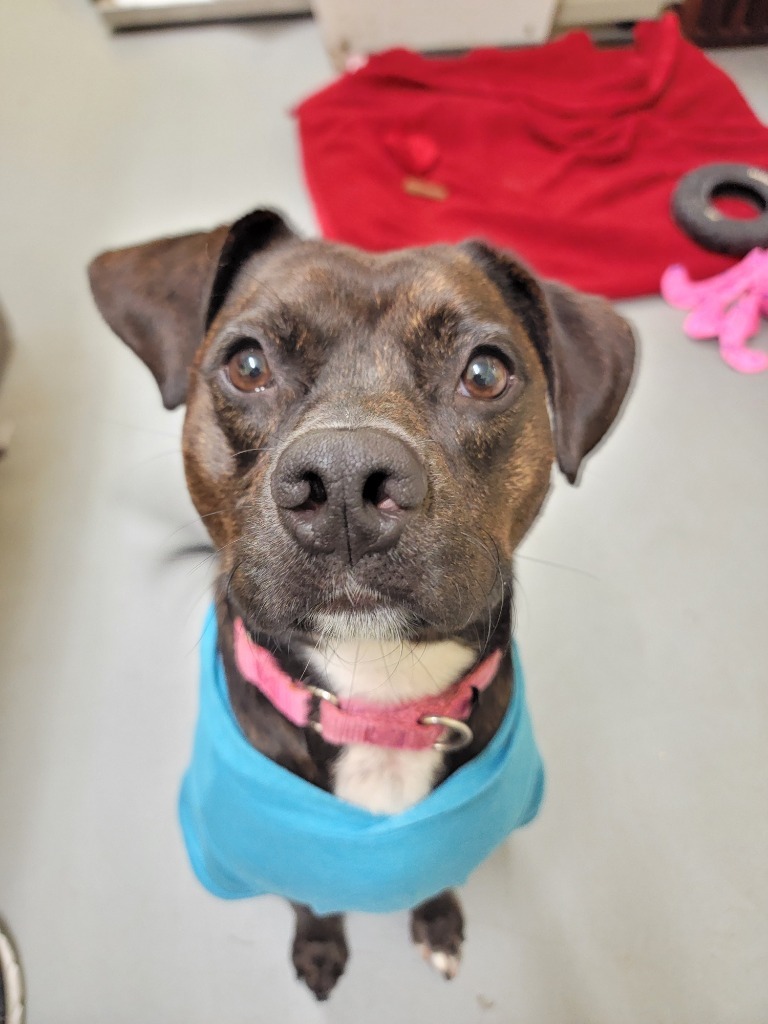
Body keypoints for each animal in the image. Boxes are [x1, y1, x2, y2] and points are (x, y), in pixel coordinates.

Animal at [88, 207, 638, 999]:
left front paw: (437, 925)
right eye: (247, 365)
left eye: (485, 373)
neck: (379, 698)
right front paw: (320, 949)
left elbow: (438, 879)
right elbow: (312, 900)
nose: (345, 480)